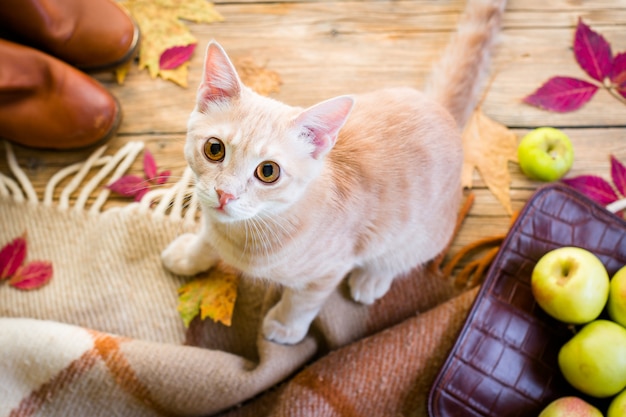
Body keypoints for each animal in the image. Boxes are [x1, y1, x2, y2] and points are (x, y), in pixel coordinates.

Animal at [162, 0, 508, 344]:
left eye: (268, 172)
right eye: (214, 149)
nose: (225, 194)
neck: (243, 233)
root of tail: (441, 109)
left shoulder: (329, 269)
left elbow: (302, 301)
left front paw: (285, 327)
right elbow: (206, 240)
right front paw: (190, 255)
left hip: (423, 234)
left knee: (401, 256)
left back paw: (372, 278)